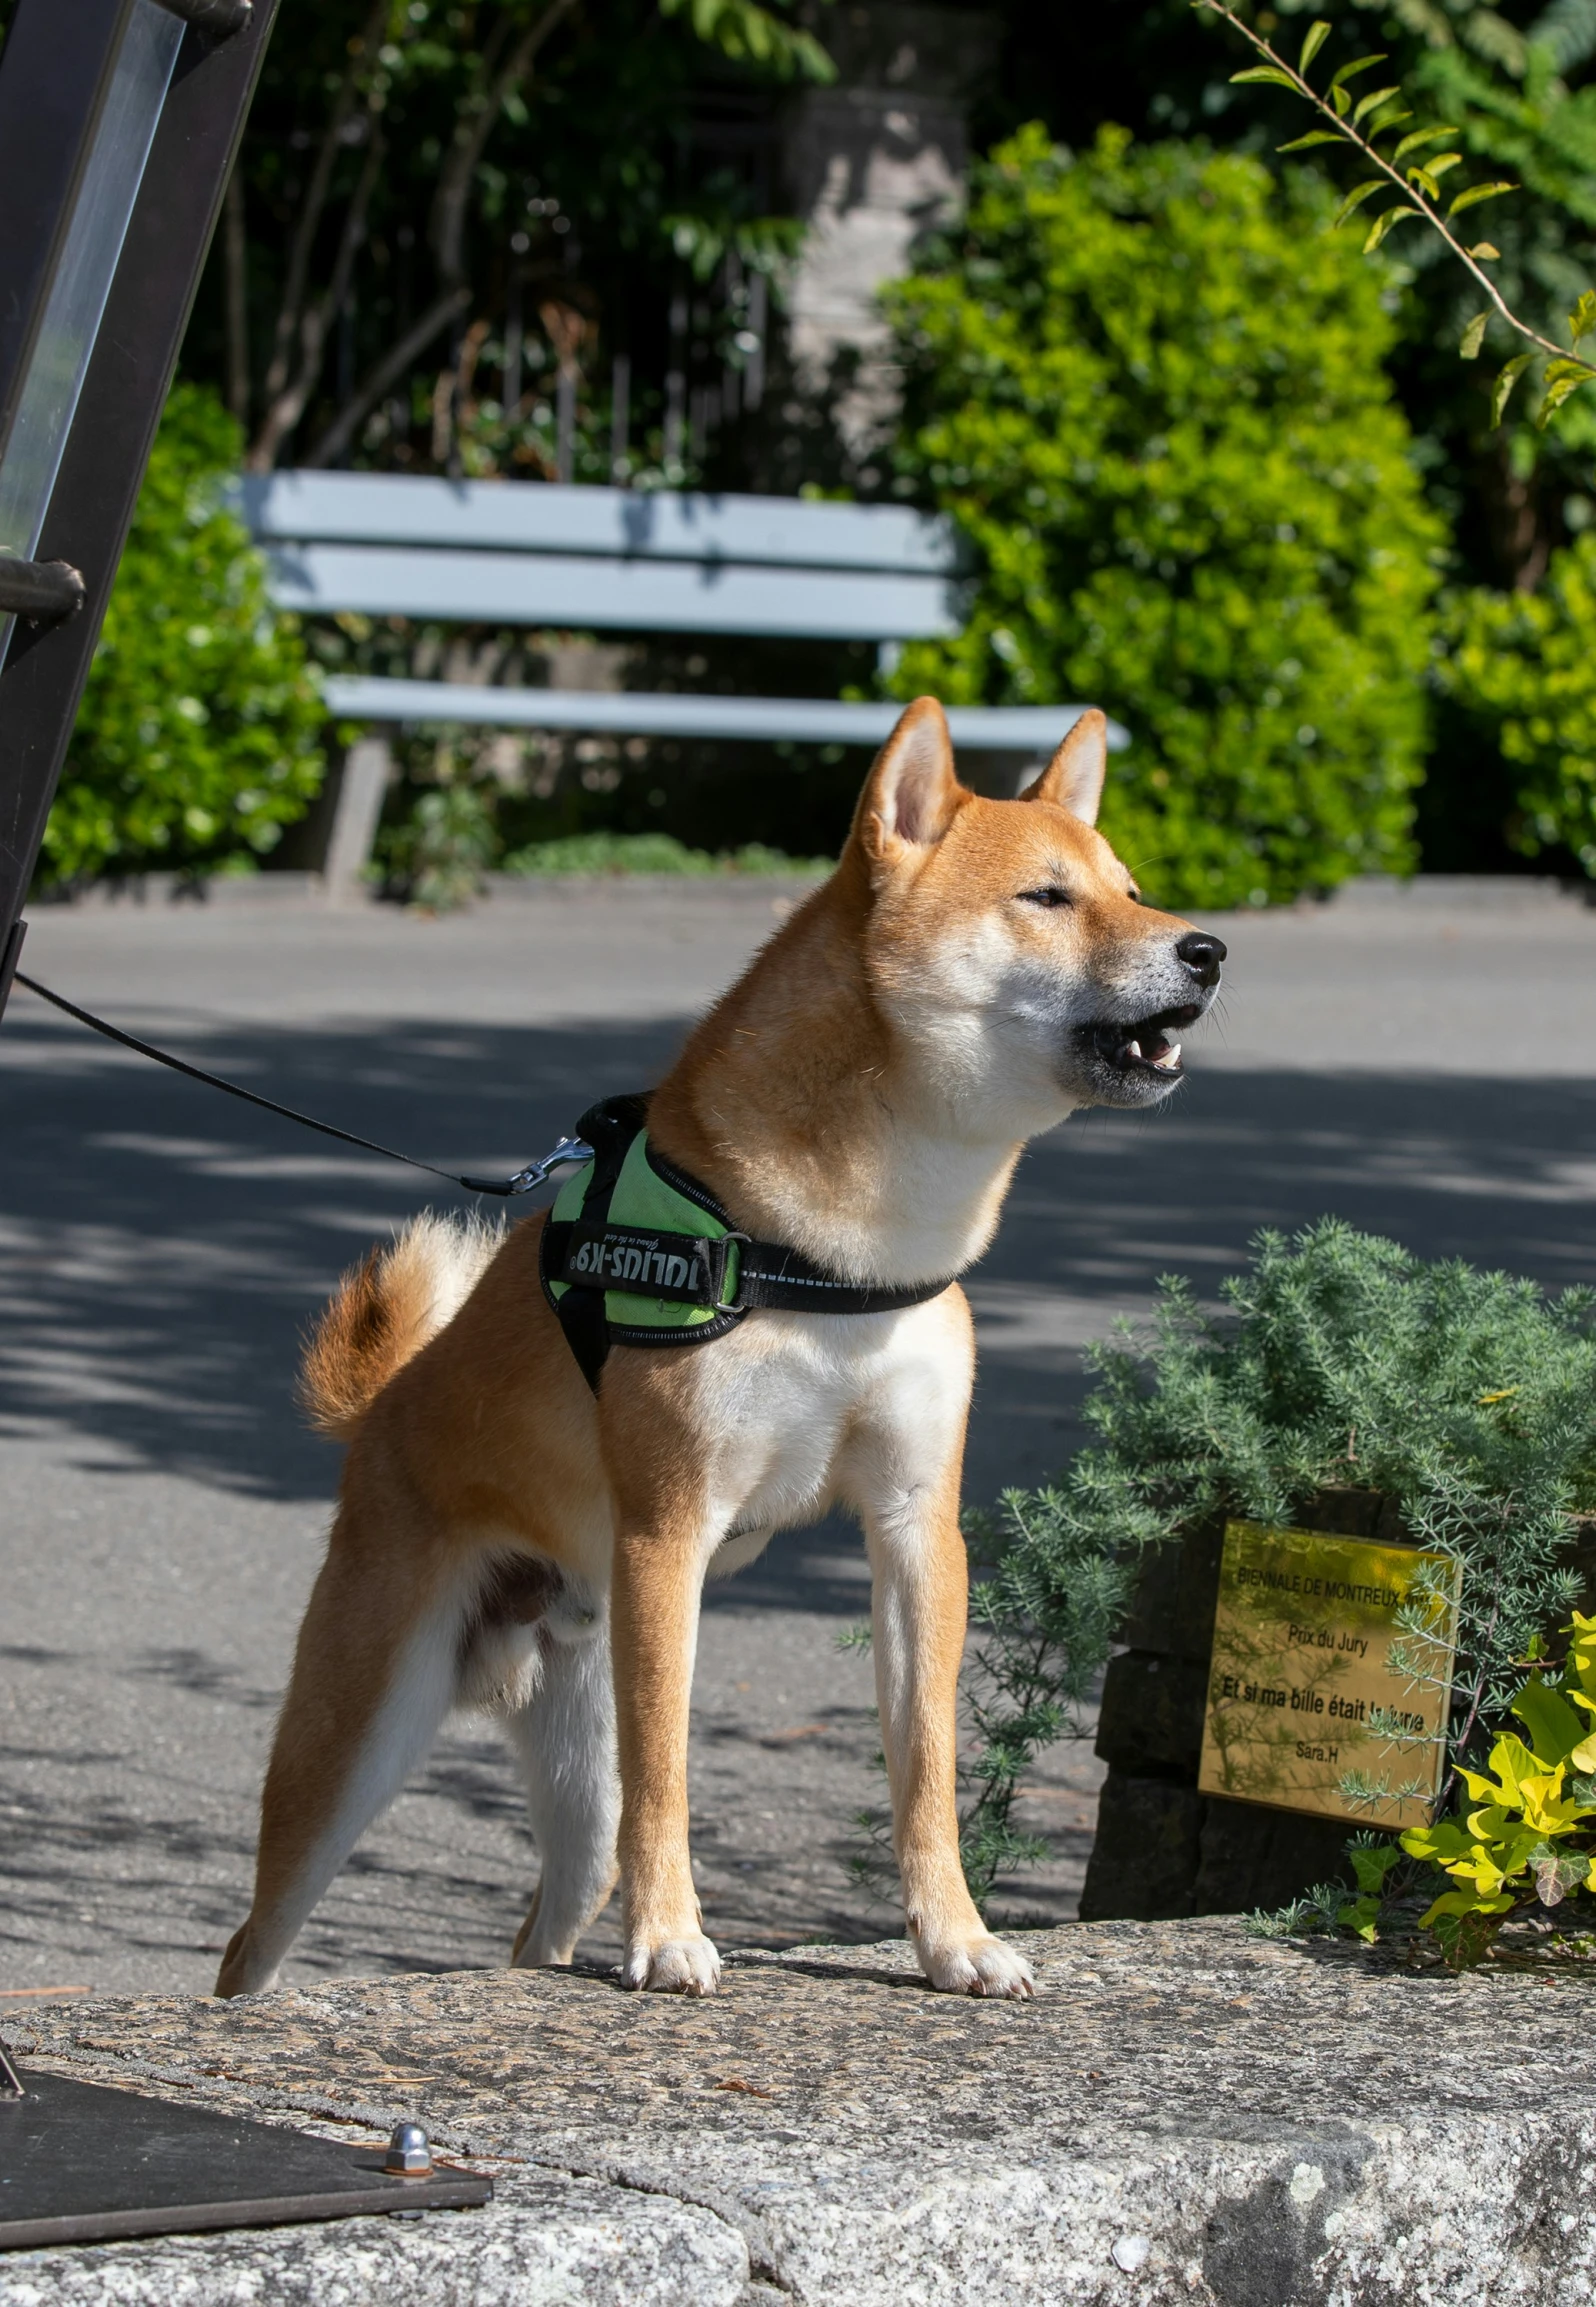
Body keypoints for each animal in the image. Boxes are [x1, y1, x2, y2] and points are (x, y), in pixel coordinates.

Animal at [215, 696, 1217, 2002]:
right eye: (1047, 898)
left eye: (1133, 890)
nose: (1207, 951)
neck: (841, 1251)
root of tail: (380, 1410)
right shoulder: (669, 1529)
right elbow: (672, 1774)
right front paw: (670, 1935)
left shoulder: (916, 1527)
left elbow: (926, 1773)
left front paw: (956, 1940)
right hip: (355, 1746)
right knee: (256, 1939)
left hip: (571, 1751)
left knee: (545, 1917)